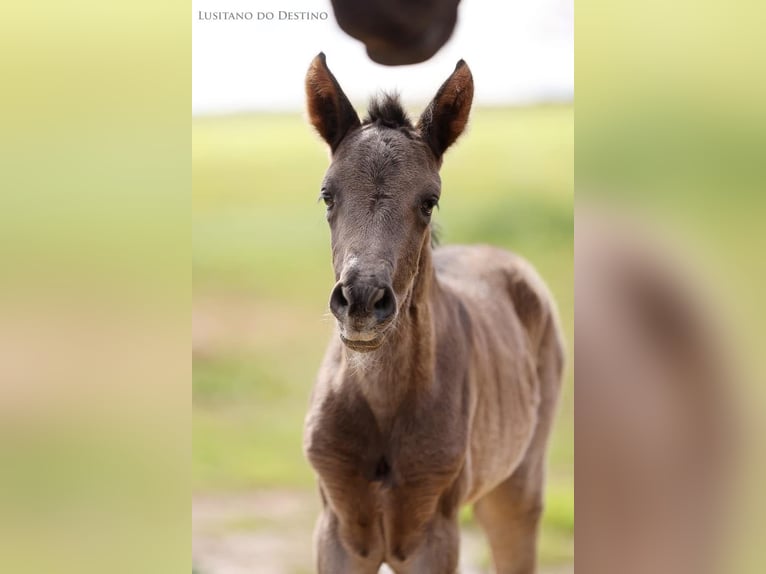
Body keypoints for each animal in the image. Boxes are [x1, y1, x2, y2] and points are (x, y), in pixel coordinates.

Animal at [302, 53, 564, 574]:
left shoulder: (432, 534)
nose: (362, 300)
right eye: (327, 195)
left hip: (516, 491)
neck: (382, 403)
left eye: (429, 201)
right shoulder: (338, 531)